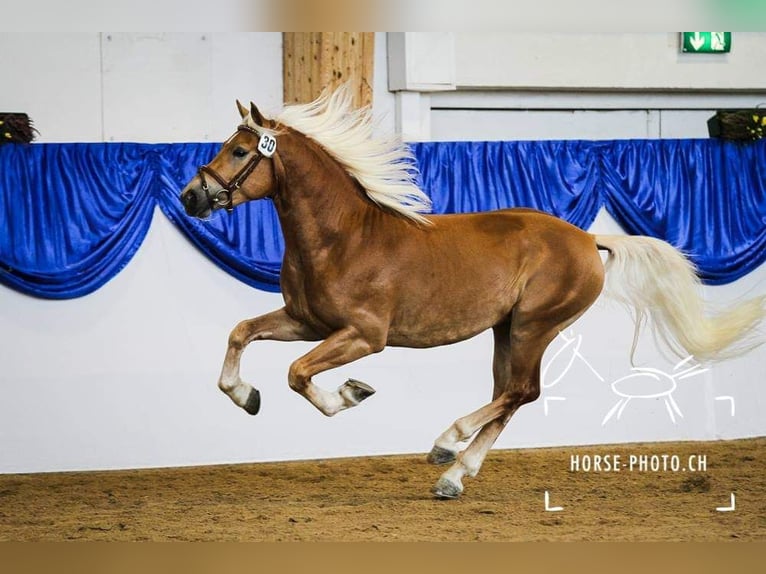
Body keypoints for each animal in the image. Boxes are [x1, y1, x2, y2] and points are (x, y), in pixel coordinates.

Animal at [180, 85, 765, 499]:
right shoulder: (306, 322)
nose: (191, 196)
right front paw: (246, 396)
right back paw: (454, 476)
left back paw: (445, 446)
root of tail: (588, 238)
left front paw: (350, 393)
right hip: (507, 330)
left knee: (520, 392)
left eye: (239, 151)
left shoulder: (364, 335)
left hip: (534, 324)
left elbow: (298, 374)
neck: (343, 236)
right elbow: (241, 333)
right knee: (511, 396)